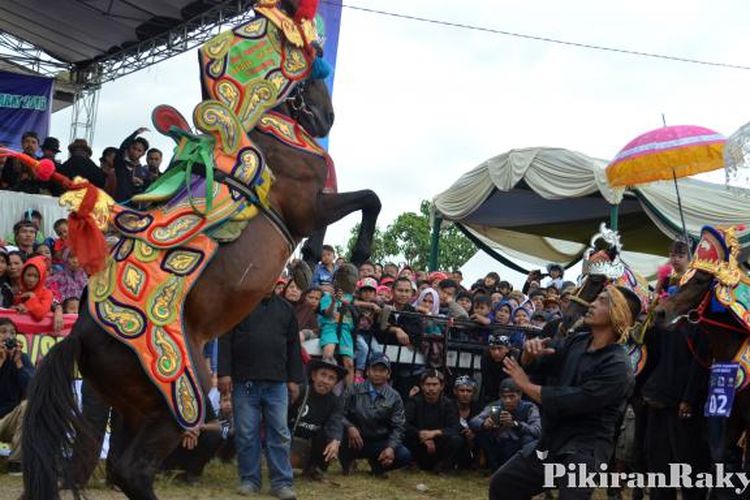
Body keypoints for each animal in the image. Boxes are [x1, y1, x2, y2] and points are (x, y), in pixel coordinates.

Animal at [23, 75, 382, 500]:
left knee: (120, 467)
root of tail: (77, 335)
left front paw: (309, 263)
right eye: (315, 80)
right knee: (133, 469)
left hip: (134, 411)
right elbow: (369, 199)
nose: (328, 116)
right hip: (178, 404)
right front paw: (350, 260)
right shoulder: (307, 206)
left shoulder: (309, 210)